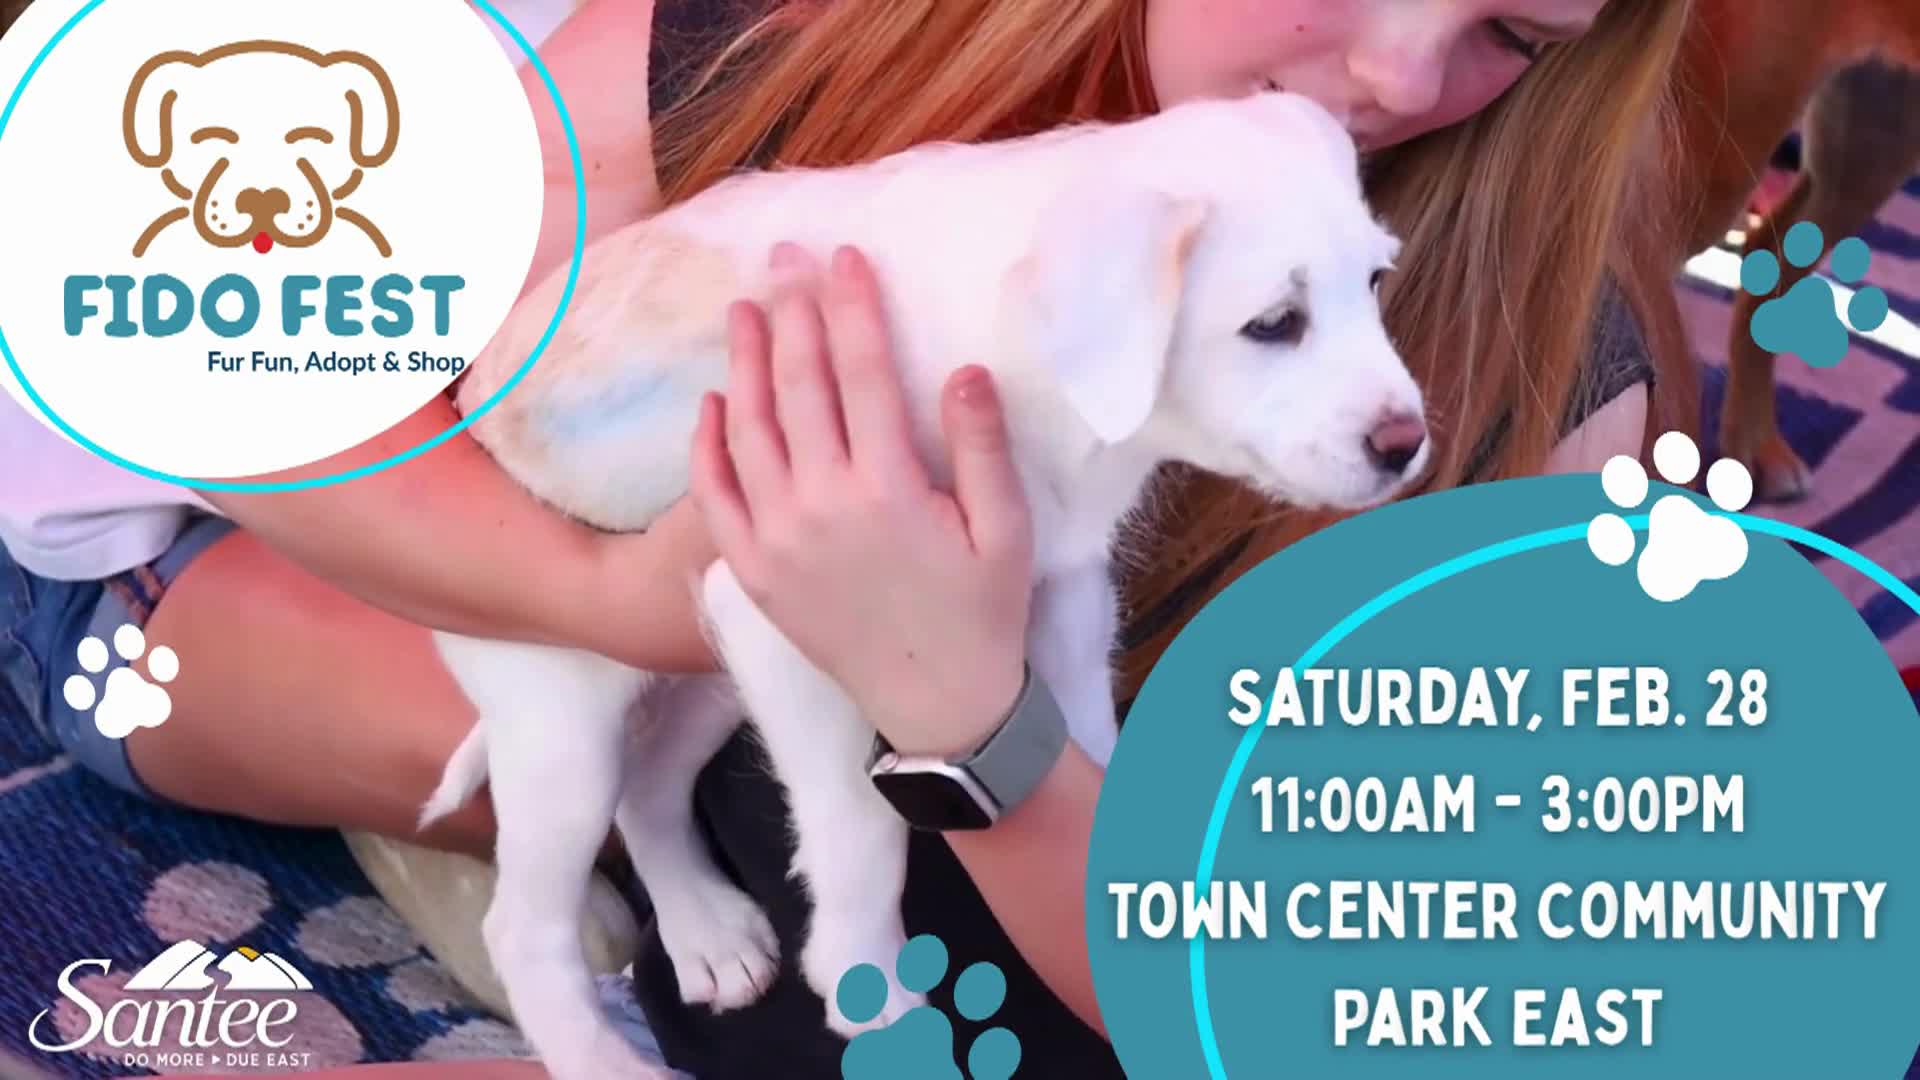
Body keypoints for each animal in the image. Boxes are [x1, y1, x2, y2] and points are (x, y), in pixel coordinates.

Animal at [421, 91, 1428, 1079]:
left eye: (1377, 285)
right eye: (1274, 324)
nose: (1406, 444)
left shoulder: (1058, 589)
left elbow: (1085, 737)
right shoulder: (794, 619)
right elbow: (858, 827)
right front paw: (871, 992)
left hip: (701, 673)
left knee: (652, 785)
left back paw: (709, 933)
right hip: (563, 724)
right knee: (524, 927)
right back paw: (604, 1057)